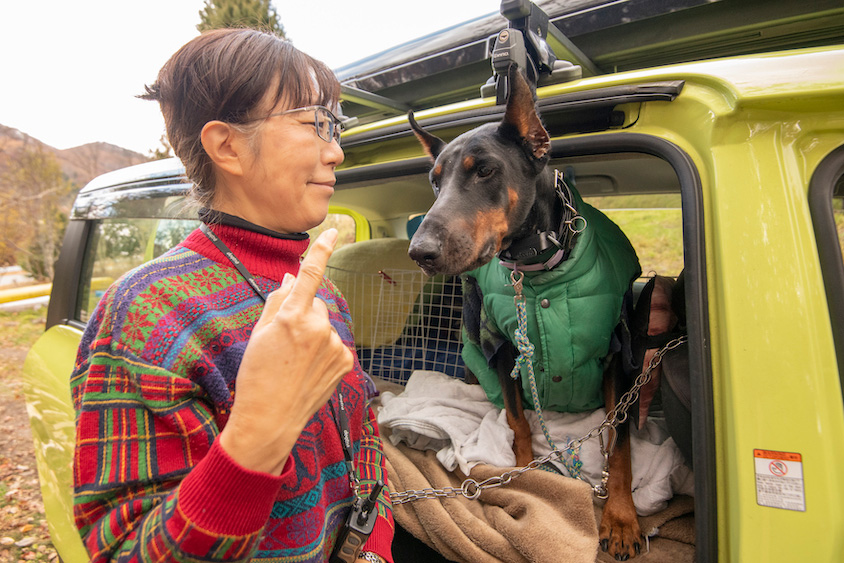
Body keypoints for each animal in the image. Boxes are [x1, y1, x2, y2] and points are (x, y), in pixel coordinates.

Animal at [408, 67, 648, 560]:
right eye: (435, 181)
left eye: (485, 170)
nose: (419, 253)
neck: (536, 268)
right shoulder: (503, 348)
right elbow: (519, 422)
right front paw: (527, 478)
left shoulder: (619, 352)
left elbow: (619, 443)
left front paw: (621, 518)